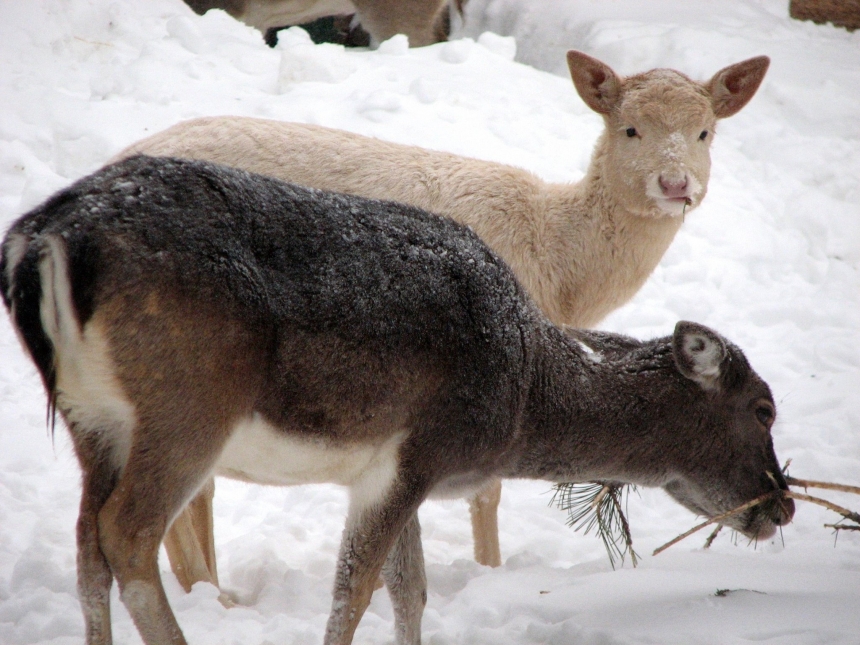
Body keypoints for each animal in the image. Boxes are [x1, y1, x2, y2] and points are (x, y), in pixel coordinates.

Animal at [0, 155, 792, 644]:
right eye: (764, 408)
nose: (783, 503)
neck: (522, 396)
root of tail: (46, 239)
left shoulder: (398, 471)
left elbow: (408, 589)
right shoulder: (417, 450)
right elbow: (354, 590)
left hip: (92, 419)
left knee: (87, 548)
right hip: (186, 403)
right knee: (128, 532)